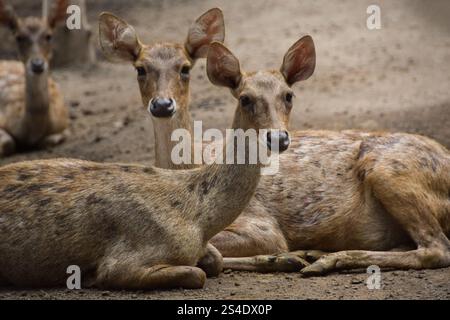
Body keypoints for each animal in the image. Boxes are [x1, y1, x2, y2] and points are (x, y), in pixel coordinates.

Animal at [0, 0, 70, 156]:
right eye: (19, 37)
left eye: (48, 36)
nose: (37, 64)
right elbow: (8, 143)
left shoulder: (63, 123)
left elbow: (51, 139)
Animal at [0, 38, 292, 288]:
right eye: (245, 98)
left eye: (289, 96)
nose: (278, 137)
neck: (198, 218)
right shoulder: (123, 261)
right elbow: (195, 273)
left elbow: (215, 260)